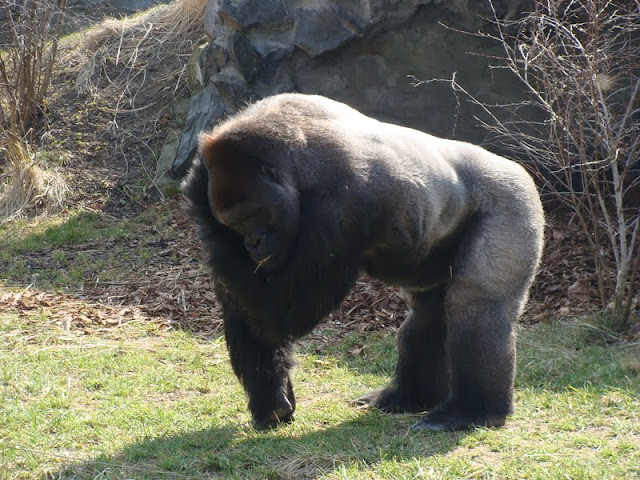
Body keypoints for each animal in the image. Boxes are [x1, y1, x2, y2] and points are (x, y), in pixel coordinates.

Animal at [181, 93, 545, 431]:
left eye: (254, 216)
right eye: (235, 225)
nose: (252, 243)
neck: (297, 165)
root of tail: (517, 167)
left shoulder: (341, 205)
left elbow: (283, 314)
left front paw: (219, 252)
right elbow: (252, 313)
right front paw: (272, 400)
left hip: (512, 200)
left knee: (476, 307)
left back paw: (473, 410)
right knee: (428, 314)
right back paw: (409, 397)